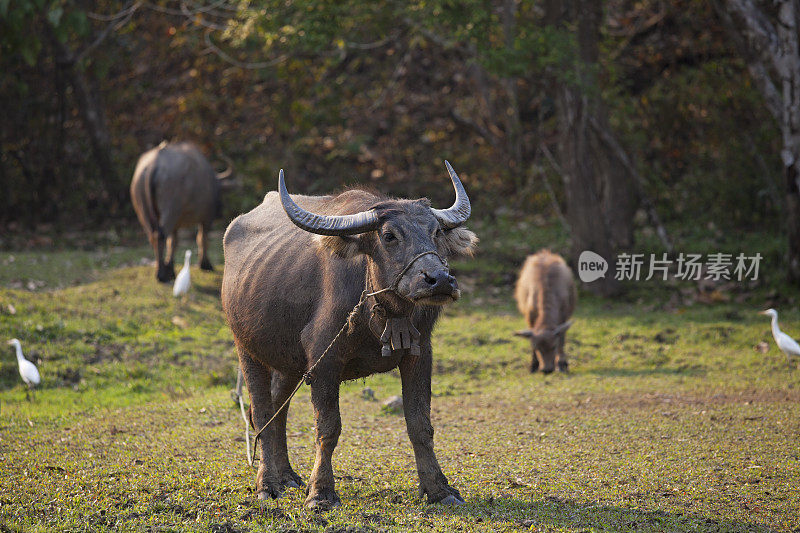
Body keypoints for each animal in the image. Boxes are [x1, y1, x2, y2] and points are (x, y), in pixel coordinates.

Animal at [130, 141, 233, 282]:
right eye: (220, 193)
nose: (220, 212)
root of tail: (154, 164)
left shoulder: (176, 224)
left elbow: (174, 242)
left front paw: (171, 268)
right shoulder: (206, 219)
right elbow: (202, 238)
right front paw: (205, 264)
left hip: (144, 212)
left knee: (154, 237)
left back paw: (161, 269)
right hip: (170, 210)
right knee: (160, 236)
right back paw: (161, 274)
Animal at [220, 161, 476, 508]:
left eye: (435, 232)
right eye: (388, 235)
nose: (440, 280)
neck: (380, 312)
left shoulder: (420, 354)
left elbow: (420, 424)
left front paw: (439, 489)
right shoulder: (324, 362)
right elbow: (328, 428)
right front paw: (321, 493)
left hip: (288, 362)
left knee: (278, 410)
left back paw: (287, 476)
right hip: (246, 348)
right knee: (260, 413)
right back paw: (267, 484)